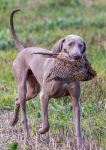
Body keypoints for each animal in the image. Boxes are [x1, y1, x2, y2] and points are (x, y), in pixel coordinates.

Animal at [9, 9, 86, 148]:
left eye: (81, 45)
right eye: (70, 44)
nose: (77, 56)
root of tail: (24, 49)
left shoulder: (75, 100)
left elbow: (78, 126)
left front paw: (80, 145)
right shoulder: (44, 96)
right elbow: (46, 124)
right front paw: (40, 130)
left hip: (33, 90)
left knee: (17, 99)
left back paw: (13, 121)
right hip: (23, 86)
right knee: (24, 116)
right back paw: (27, 137)